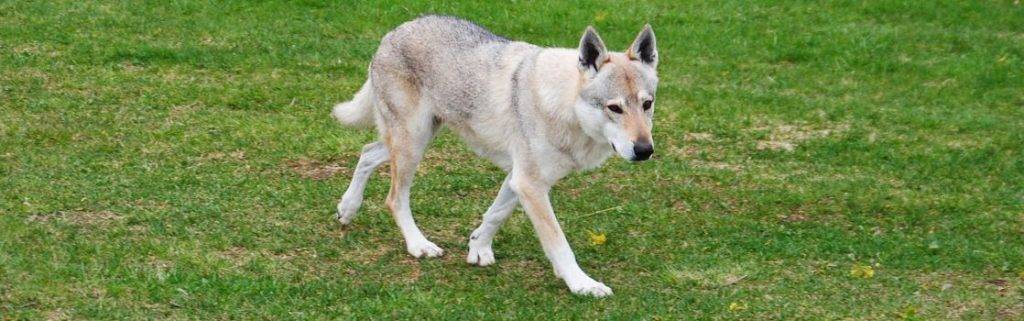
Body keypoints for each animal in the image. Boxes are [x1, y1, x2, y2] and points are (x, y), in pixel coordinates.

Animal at [331, 14, 659, 295]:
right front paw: (582, 284)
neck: (565, 105)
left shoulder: (519, 179)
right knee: (394, 198)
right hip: (413, 143)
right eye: (614, 107)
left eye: (647, 104)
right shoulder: (530, 184)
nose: (645, 150)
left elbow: (495, 214)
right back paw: (418, 245)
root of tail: (394, 32)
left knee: (367, 153)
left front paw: (477, 249)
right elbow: (558, 243)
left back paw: (347, 208)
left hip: (415, 140)